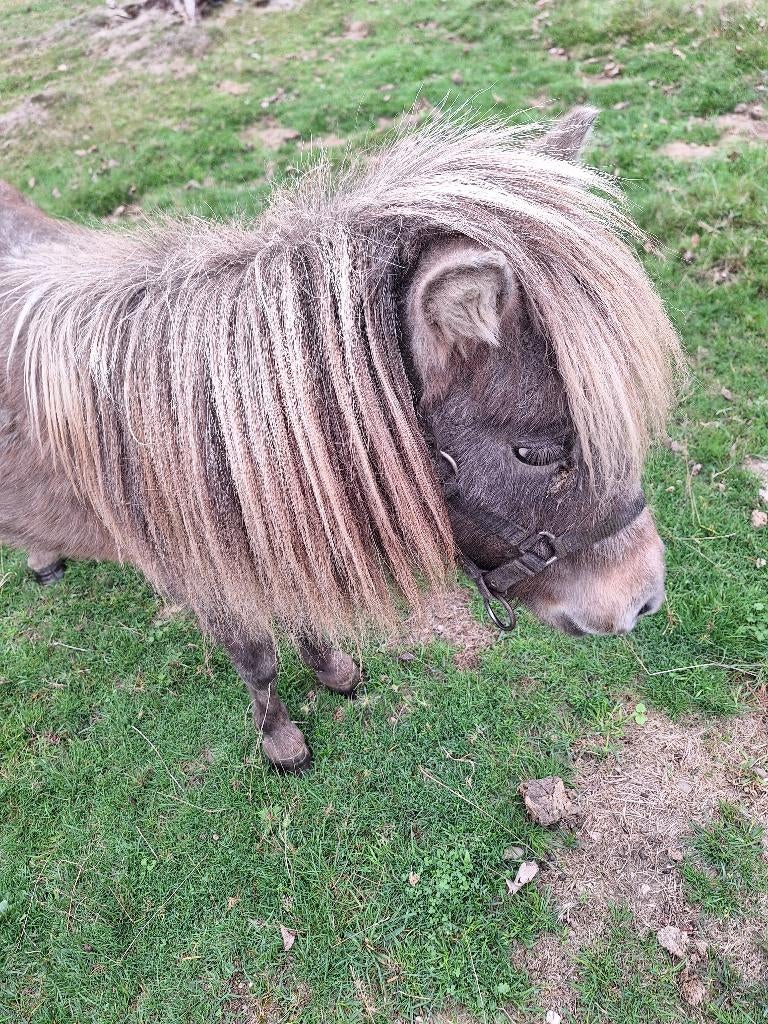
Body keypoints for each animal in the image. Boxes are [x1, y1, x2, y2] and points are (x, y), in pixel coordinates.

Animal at [0, 108, 682, 771]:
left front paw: (333, 673)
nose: (644, 599)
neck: (208, 434)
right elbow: (257, 659)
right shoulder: (206, 579)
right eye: (535, 452)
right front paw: (280, 741)